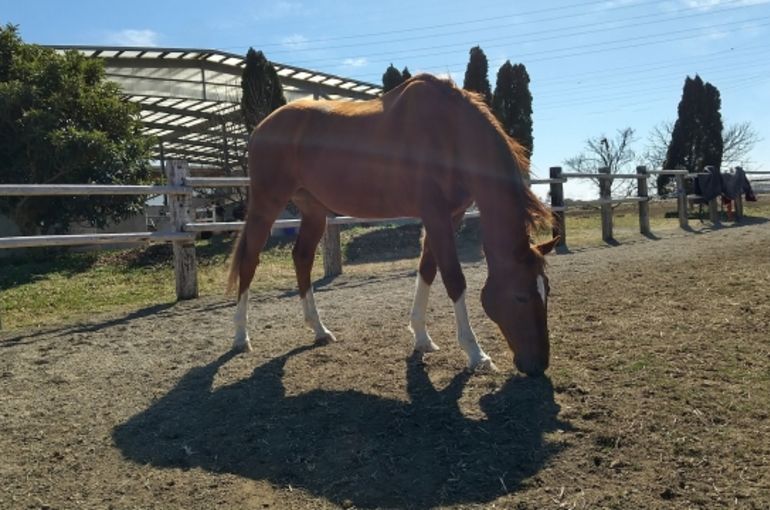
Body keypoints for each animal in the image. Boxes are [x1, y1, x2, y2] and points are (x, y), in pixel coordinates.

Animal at [227, 74, 558, 376]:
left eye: (547, 290)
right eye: (520, 296)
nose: (539, 364)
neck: (450, 132)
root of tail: (261, 127)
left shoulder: (450, 215)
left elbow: (427, 269)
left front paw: (422, 338)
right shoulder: (435, 213)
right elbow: (454, 278)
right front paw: (476, 354)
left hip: (313, 210)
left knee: (302, 258)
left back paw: (319, 330)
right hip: (266, 204)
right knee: (249, 261)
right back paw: (241, 337)